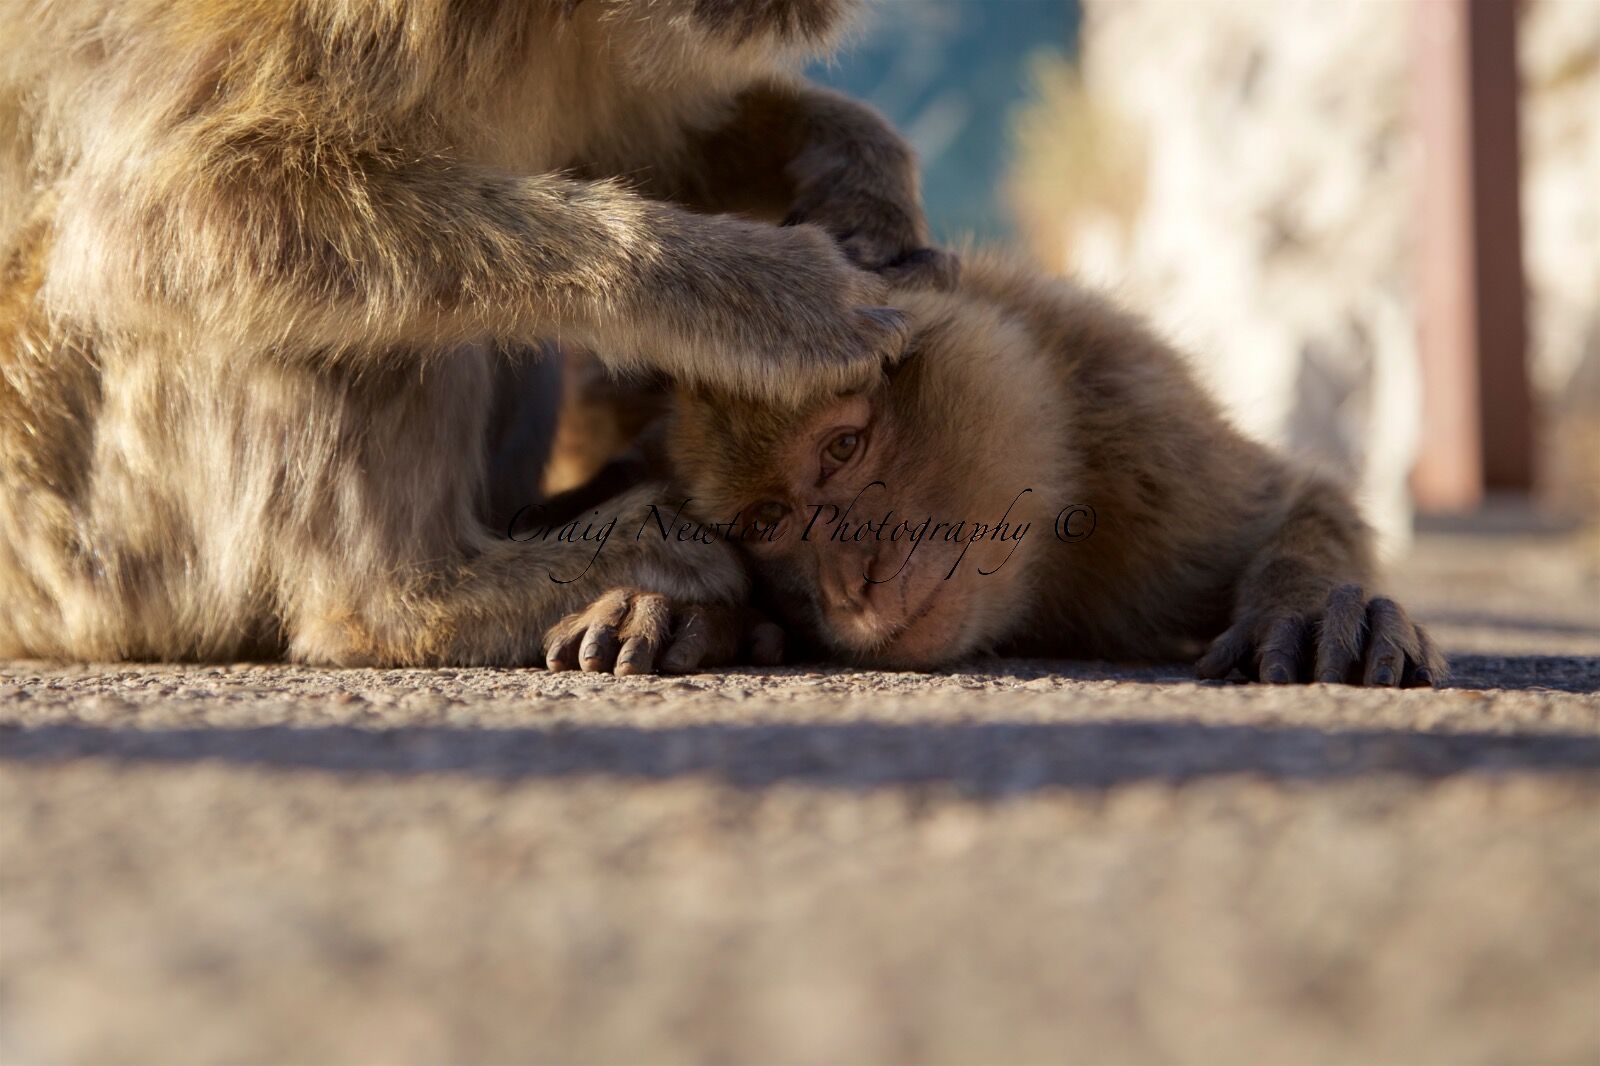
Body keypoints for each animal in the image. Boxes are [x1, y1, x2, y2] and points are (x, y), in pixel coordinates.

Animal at [0, 0, 959, 671]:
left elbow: (634, 144)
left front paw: (859, 172)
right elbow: (169, 214)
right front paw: (768, 301)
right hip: (81, 525)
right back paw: (412, 606)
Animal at [560, 249, 1444, 685]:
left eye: (843, 447)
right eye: (769, 522)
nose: (852, 589)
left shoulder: (1150, 454)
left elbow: (1297, 500)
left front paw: (1310, 603)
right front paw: (673, 600)